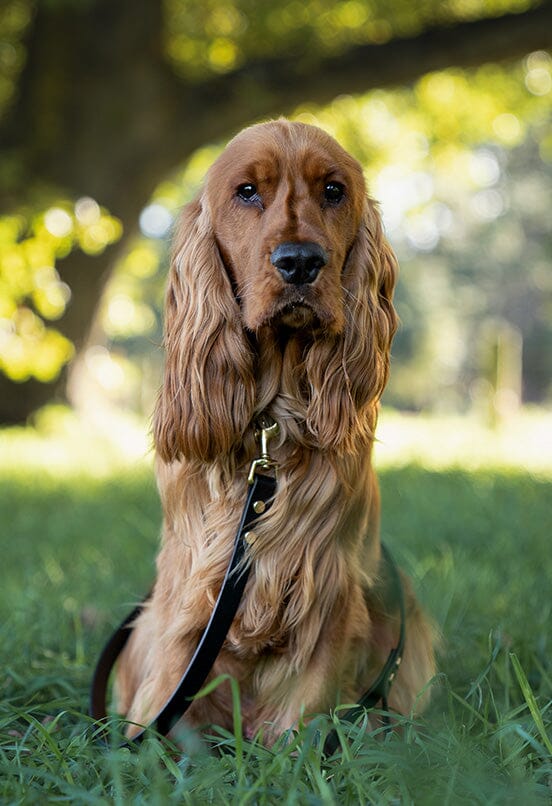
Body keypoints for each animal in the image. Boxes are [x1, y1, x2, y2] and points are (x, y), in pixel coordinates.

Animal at [116, 120, 436, 744]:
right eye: (246, 192)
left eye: (334, 190)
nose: (300, 262)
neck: (273, 421)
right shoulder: (188, 596)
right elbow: (169, 693)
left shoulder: (330, 594)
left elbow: (303, 715)